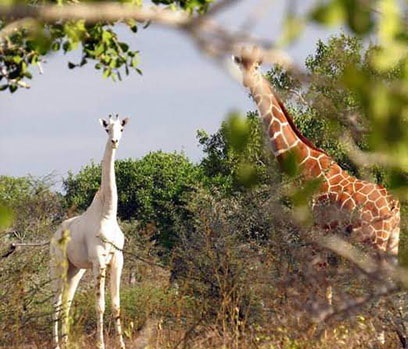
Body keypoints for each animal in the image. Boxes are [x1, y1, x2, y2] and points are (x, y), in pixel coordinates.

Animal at [50, 114, 129, 348]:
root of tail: (54, 236)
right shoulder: (98, 260)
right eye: (106, 129)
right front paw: (101, 344)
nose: (115, 141)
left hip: (75, 270)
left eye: (121, 128)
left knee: (66, 302)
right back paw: (57, 344)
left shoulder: (118, 259)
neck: (108, 215)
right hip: (58, 265)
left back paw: (66, 342)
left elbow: (116, 304)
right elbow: (100, 305)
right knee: (56, 302)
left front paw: (122, 344)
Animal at [234, 46, 400, 258]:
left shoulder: (316, 229)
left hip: (374, 239)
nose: (247, 82)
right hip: (392, 241)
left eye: (256, 67)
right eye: (241, 65)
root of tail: (393, 203)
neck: (304, 163)